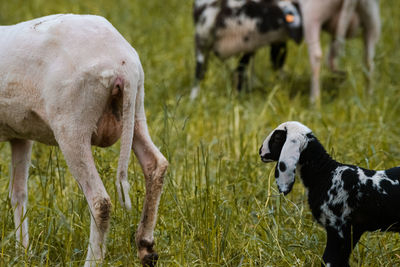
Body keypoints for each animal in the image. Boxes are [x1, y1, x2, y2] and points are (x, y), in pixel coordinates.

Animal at [0, 14, 169, 267]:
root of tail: (123, 65)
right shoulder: (20, 135)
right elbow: (18, 194)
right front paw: (23, 254)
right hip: (136, 109)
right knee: (156, 164)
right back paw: (146, 247)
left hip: (72, 123)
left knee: (100, 201)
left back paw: (94, 260)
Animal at [258, 122, 400, 267]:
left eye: (277, 138)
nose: (260, 151)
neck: (325, 173)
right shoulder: (353, 231)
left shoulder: (337, 229)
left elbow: (328, 261)